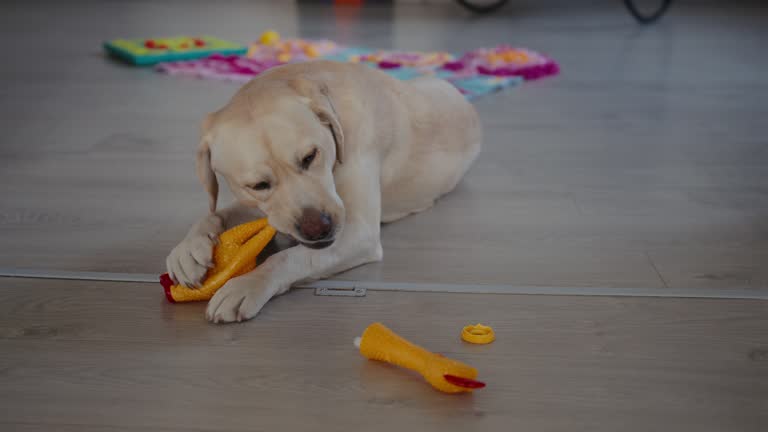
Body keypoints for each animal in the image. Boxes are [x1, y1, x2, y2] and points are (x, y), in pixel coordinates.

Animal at [166, 61, 480, 324]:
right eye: (259, 186)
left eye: (310, 156)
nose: (318, 228)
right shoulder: (256, 206)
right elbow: (213, 215)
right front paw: (187, 250)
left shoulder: (359, 233)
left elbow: (288, 257)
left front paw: (247, 284)